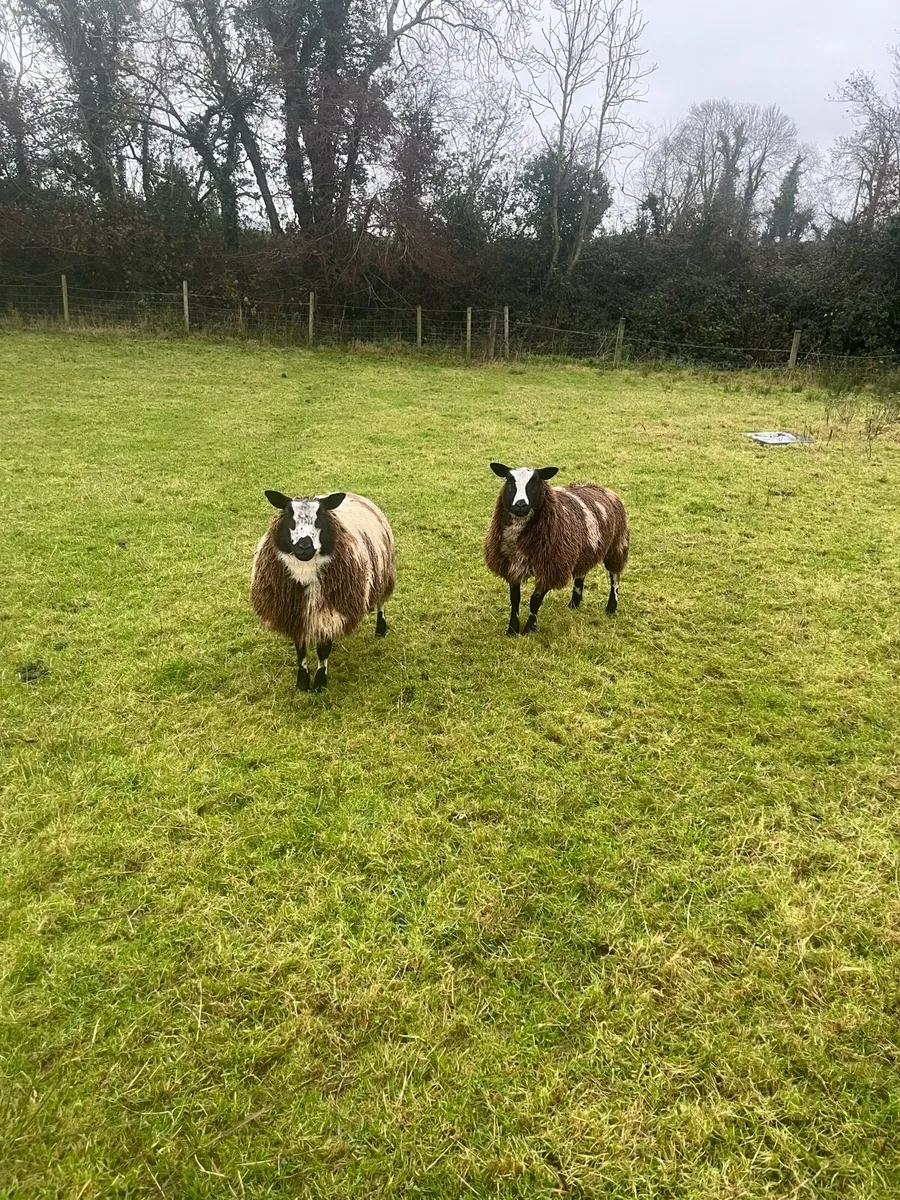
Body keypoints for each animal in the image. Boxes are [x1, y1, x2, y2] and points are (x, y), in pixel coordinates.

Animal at [250, 489, 395, 690]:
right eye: (289, 517)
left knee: (382, 601)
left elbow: (323, 649)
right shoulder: (296, 615)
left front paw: (320, 683)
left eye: (319, 518)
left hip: (384, 571)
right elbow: (301, 650)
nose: (304, 546)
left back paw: (380, 630)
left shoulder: (328, 613)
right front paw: (302, 683)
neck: (304, 572)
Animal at [484, 463, 629, 636]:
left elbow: (535, 600)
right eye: (509, 480)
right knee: (581, 574)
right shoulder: (512, 565)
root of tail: (602, 488)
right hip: (583, 550)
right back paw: (574, 603)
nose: (520, 505)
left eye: (536, 480)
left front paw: (529, 629)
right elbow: (515, 599)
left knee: (615, 577)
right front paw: (512, 630)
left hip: (617, 545)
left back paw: (611, 608)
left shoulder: (552, 567)